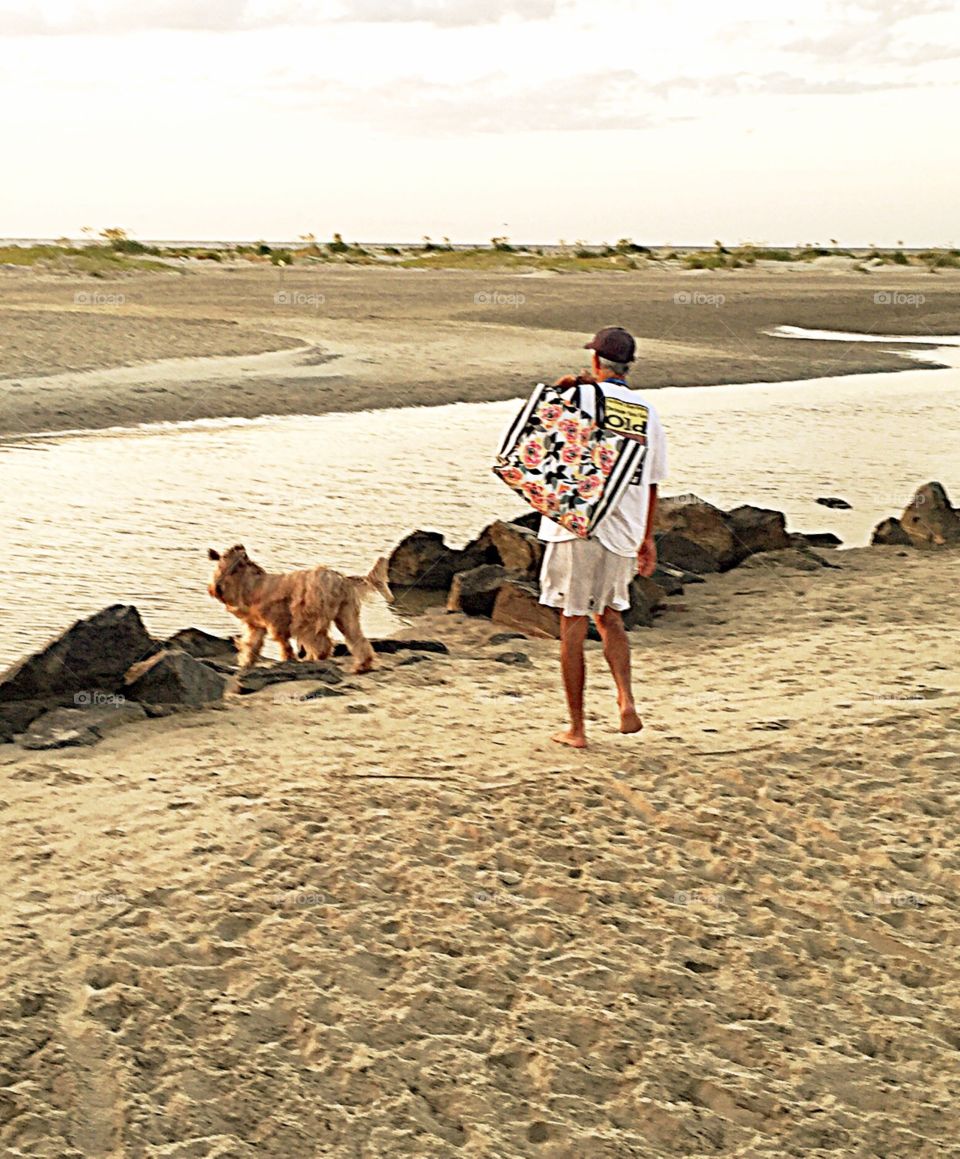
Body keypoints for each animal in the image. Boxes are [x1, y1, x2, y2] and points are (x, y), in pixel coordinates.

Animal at [208, 544, 391, 676]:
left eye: (229, 568)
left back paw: (316, 660)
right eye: (219, 565)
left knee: (323, 644)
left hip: (307, 620)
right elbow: (251, 646)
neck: (253, 584)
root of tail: (341, 580)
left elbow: (284, 645)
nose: (215, 588)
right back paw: (362, 666)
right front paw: (246, 663)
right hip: (346, 617)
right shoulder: (257, 626)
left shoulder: (276, 623)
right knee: (358, 640)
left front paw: (287, 659)